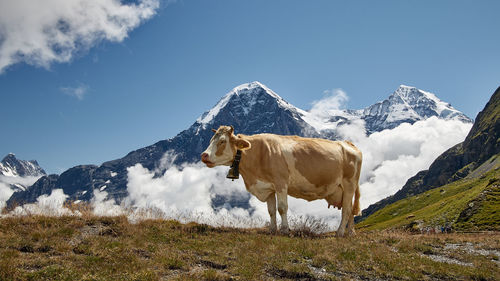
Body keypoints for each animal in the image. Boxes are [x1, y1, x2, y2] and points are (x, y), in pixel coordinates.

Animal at [200, 126, 364, 235]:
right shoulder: (268, 187)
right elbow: (271, 211)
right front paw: (272, 230)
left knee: (347, 209)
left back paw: (340, 233)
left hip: (349, 184)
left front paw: (285, 230)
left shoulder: (281, 183)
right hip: (345, 189)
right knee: (349, 209)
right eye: (211, 140)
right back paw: (350, 233)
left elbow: (282, 208)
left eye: (222, 141)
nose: (204, 155)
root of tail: (348, 144)